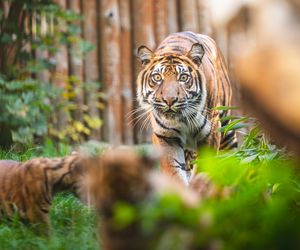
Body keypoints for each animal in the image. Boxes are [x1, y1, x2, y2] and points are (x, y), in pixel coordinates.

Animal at [137, 30, 238, 186]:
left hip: (227, 129)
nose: (169, 100)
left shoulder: (211, 131)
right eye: (157, 77)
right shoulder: (165, 136)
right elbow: (174, 172)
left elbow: (204, 170)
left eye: (183, 78)